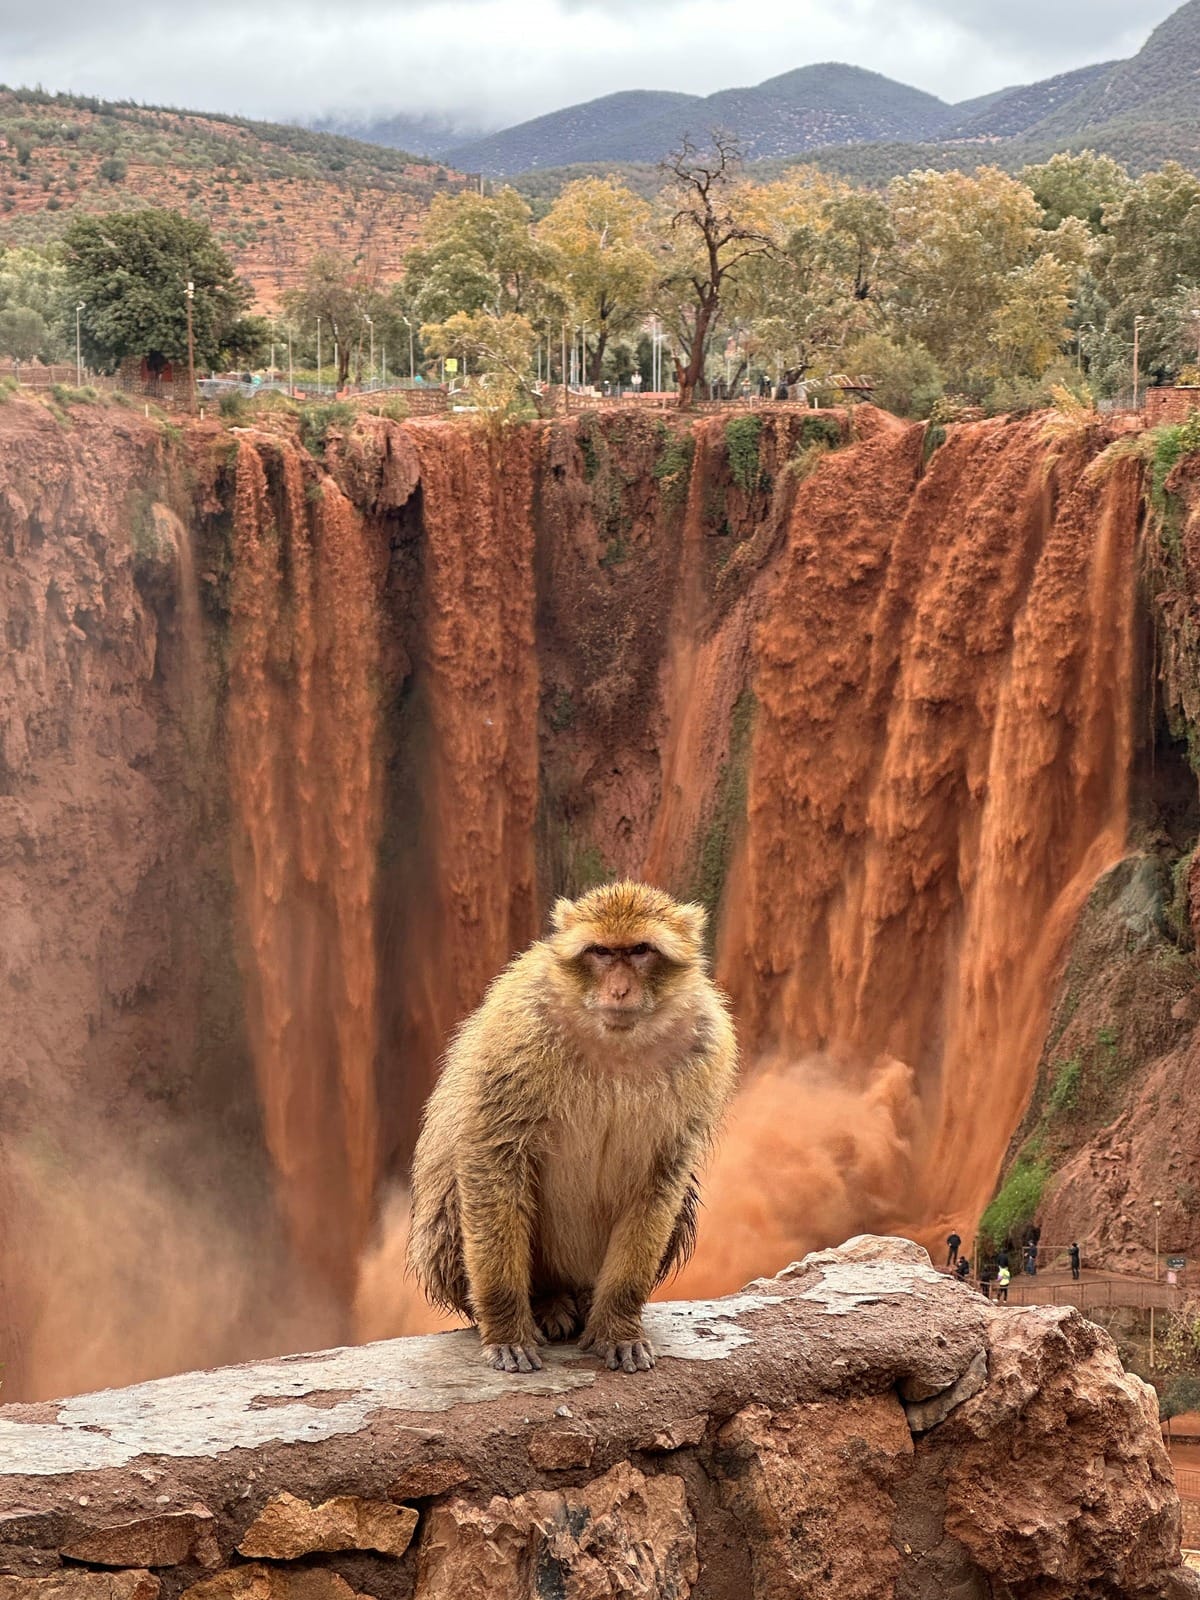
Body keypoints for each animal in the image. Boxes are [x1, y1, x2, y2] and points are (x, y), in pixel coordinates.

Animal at [408, 881, 738, 1375]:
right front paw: (507, 1328)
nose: (619, 989)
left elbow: (663, 1175)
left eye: (640, 950)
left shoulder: (707, 1044)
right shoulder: (519, 1031)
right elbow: (492, 1153)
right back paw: (546, 1301)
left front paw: (618, 1325)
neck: (616, 1043)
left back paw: (585, 1301)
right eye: (600, 952)